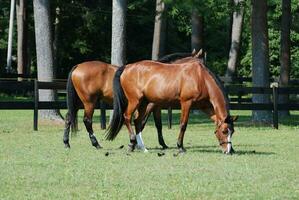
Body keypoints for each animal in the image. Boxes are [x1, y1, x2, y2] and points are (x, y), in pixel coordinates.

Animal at [62, 51, 202, 150]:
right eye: (201, 64)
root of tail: (78, 66)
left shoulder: (156, 106)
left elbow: (158, 125)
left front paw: (163, 144)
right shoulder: (149, 106)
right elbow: (142, 122)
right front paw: (135, 143)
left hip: (79, 102)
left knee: (69, 117)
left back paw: (66, 143)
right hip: (89, 102)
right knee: (87, 120)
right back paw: (96, 143)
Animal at [106, 55, 238, 154]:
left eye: (232, 131)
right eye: (225, 131)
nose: (228, 151)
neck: (201, 78)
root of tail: (127, 67)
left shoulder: (205, 107)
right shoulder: (186, 103)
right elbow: (183, 125)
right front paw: (180, 147)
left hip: (143, 103)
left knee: (138, 122)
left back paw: (143, 147)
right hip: (135, 101)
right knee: (127, 117)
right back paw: (132, 142)